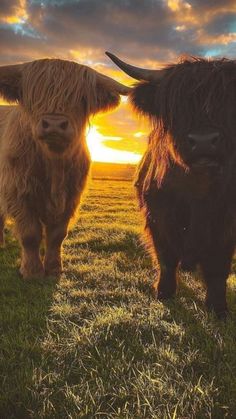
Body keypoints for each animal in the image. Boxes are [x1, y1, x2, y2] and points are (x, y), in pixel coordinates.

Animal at [107, 50, 236, 316]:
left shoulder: (226, 222)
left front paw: (218, 308)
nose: (204, 141)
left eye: (227, 102)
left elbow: (218, 267)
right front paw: (164, 293)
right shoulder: (158, 215)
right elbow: (166, 258)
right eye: (177, 106)